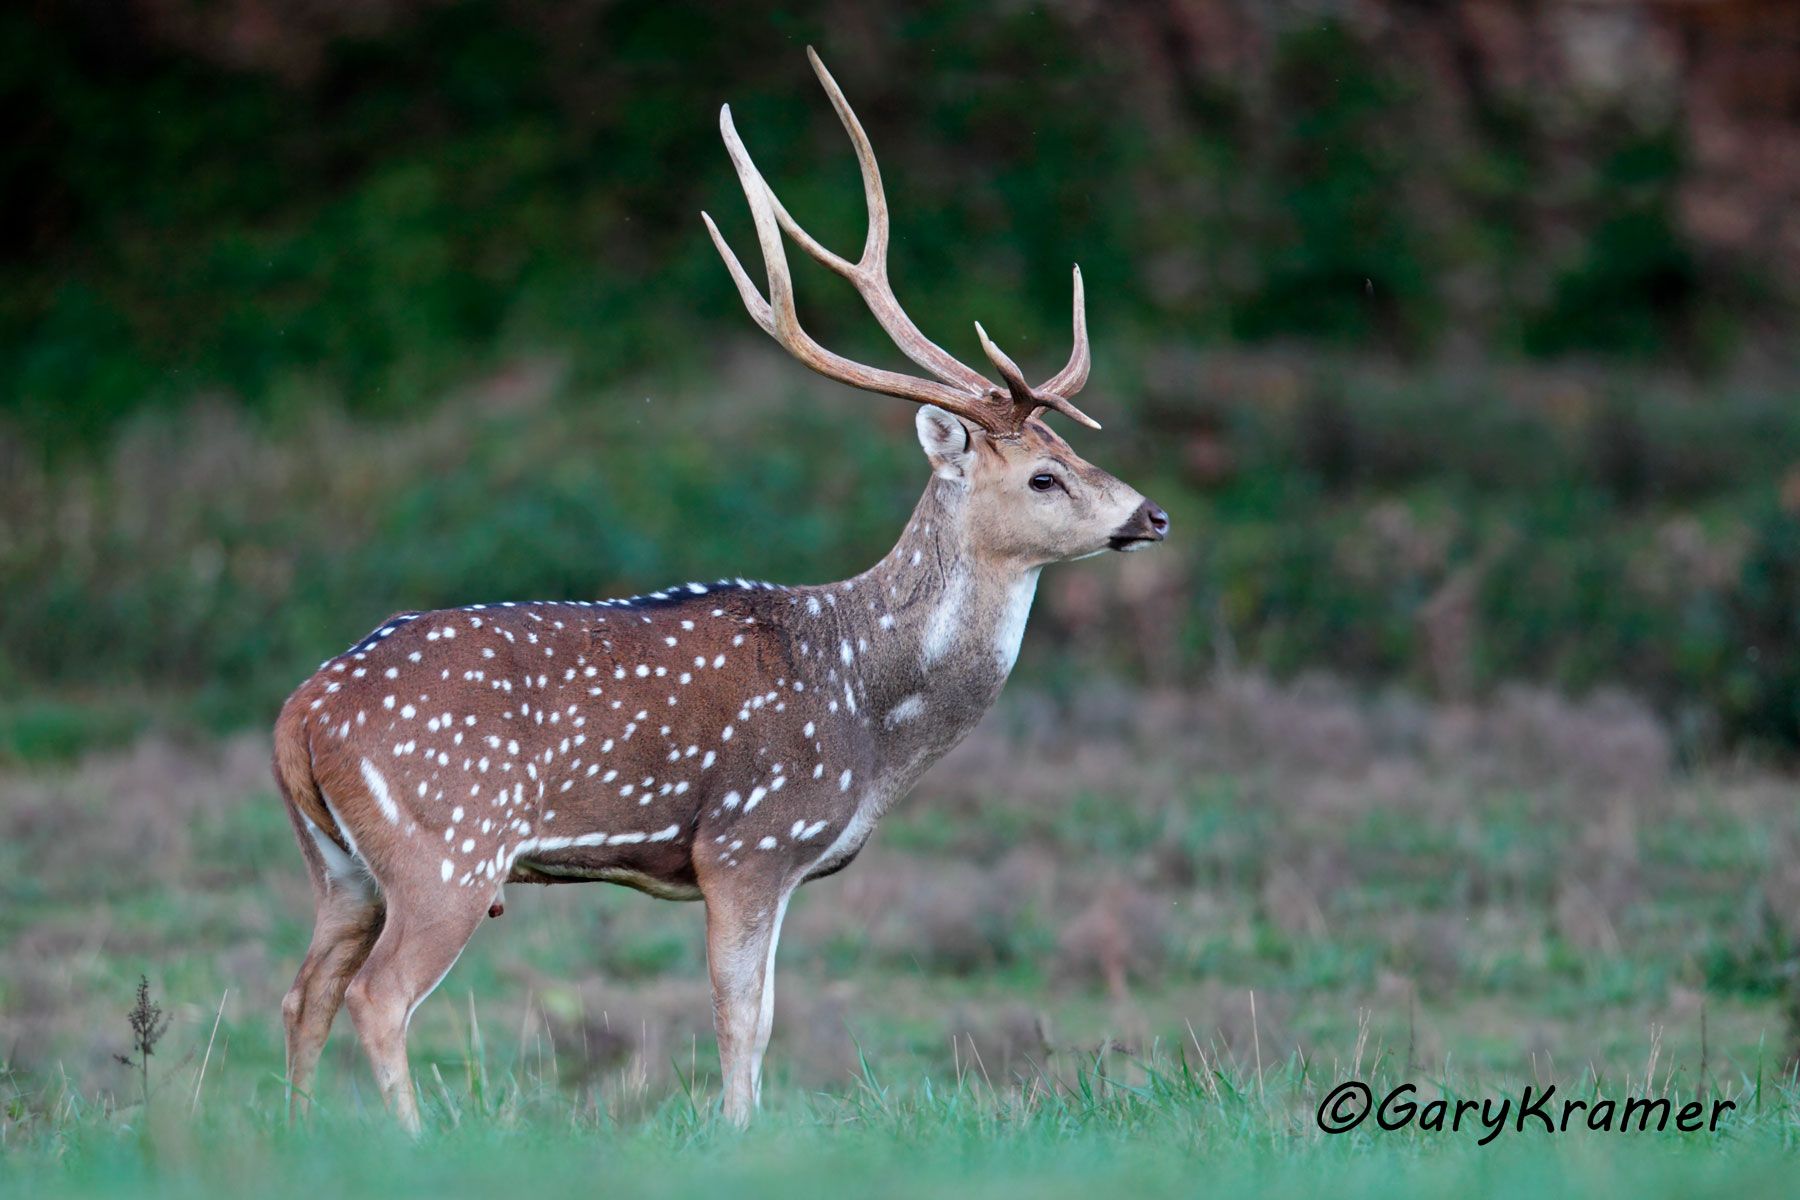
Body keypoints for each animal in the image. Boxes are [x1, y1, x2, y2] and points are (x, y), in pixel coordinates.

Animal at [272, 48, 1168, 1132]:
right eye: (1042, 477)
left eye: (1073, 451)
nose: (1151, 515)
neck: (870, 708)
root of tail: (300, 711)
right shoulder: (748, 838)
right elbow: (744, 1016)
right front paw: (738, 1135)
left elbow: (763, 1012)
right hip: (447, 844)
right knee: (377, 994)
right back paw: (409, 1142)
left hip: (340, 866)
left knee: (305, 990)